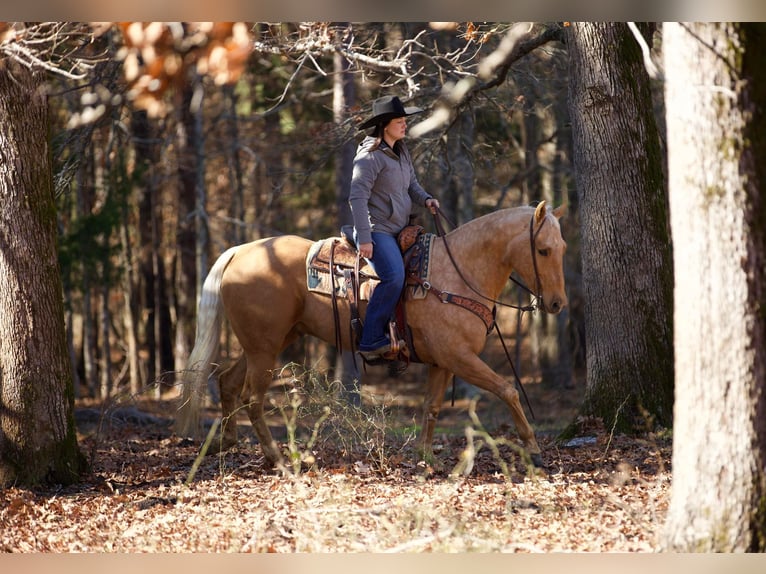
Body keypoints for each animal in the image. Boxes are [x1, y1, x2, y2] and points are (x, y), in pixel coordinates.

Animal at [176, 202, 568, 468]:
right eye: (543, 249)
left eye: (562, 249)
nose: (557, 303)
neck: (457, 274)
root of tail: (239, 251)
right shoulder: (460, 357)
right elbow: (507, 389)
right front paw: (533, 450)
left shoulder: (443, 361)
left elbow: (432, 406)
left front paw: (425, 456)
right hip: (264, 348)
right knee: (252, 397)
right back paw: (278, 458)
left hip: (269, 342)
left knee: (227, 382)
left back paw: (225, 442)